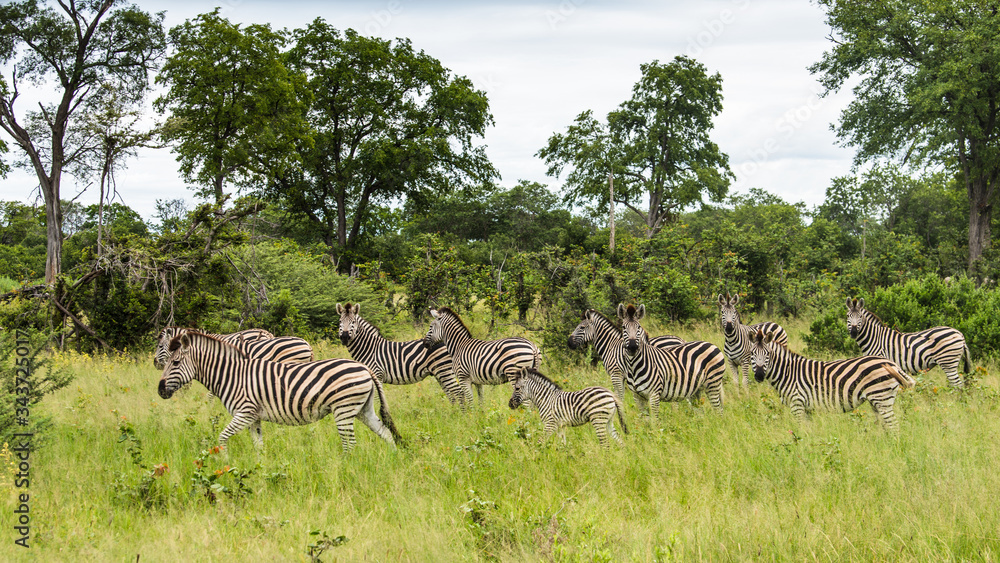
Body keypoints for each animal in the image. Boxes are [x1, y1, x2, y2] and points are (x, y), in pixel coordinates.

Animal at [158, 331, 401, 452]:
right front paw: (260, 471)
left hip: (344, 409)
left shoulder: (244, 412)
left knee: (350, 444)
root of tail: (365, 369)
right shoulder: (253, 418)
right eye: (168, 361)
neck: (232, 375)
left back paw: (344, 467)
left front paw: (224, 464)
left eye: (175, 362)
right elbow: (258, 447)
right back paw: (392, 460)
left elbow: (222, 437)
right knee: (386, 433)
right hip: (362, 409)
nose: (160, 391)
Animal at [748, 326, 915, 430]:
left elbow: (800, 430)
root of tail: (892, 364)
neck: (787, 372)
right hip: (877, 401)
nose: (759, 376)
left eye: (768, 354)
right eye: (752, 354)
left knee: (893, 425)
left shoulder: (797, 404)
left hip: (882, 397)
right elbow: (808, 432)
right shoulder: (807, 409)